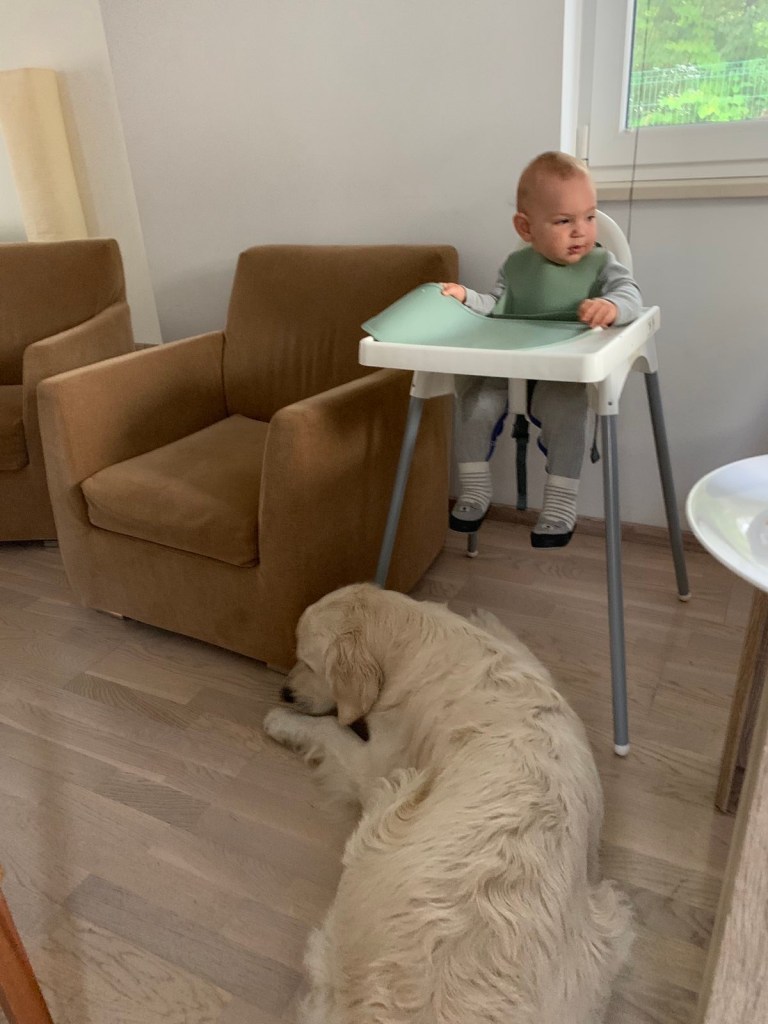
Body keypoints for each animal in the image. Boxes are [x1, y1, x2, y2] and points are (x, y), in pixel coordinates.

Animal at [264, 583, 632, 1023]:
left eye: (307, 661)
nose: (284, 691)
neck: (416, 644)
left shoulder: (373, 764)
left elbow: (329, 731)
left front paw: (281, 720)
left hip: (388, 812)